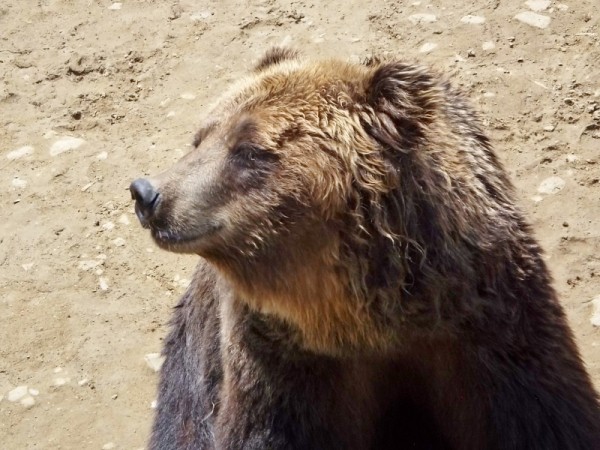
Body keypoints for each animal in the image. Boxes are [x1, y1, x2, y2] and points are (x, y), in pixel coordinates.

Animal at [130, 47, 600, 448]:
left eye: (248, 149)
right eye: (201, 137)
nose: (147, 193)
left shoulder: (490, 328)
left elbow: (543, 415)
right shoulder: (283, 363)